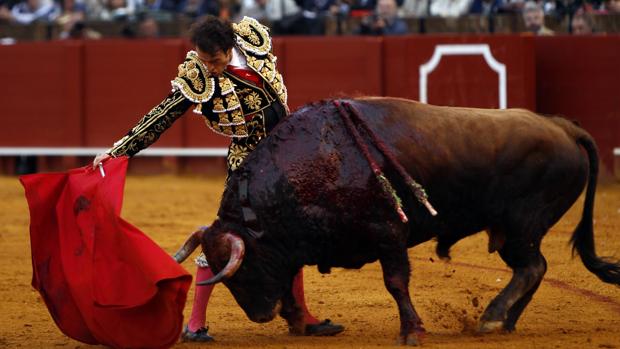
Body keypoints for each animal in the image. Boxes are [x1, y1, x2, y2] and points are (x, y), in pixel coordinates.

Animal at [173, 96, 620, 344]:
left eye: (242, 269)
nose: (259, 315)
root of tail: (563, 126)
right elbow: (292, 278)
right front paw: (303, 322)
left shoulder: (388, 232)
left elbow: (395, 282)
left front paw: (411, 332)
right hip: (518, 231)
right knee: (534, 268)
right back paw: (504, 320)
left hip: (521, 226)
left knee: (532, 267)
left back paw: (493, 318)